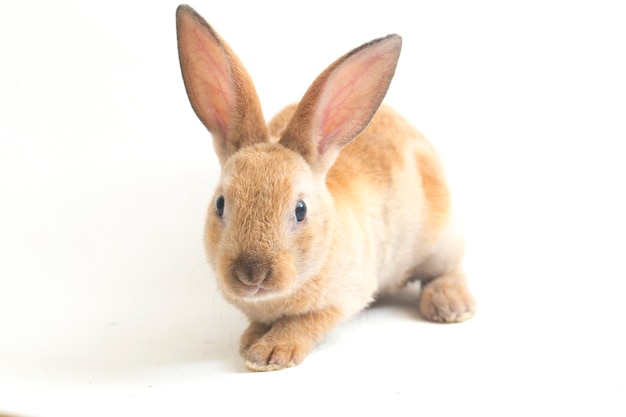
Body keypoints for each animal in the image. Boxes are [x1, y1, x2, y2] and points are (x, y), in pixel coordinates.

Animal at [176, 4, 472, 370]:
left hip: (440, 239)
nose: (251, 274)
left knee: (447, 270)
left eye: (300, 210)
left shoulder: (344, 298)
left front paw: (268, 355)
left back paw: (451, 307)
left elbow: (306, 322)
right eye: (220, 204)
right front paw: (248, 343)